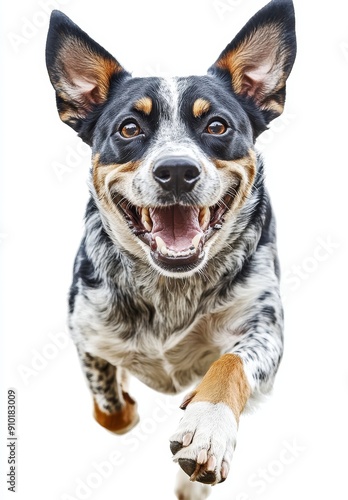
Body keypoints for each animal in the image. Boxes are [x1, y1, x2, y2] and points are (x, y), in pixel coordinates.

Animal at [46, 0, 296, 496]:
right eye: (128, 128)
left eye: (217, 125)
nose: (177, 170)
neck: (170, 289)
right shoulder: (85, 332)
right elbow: (113, 411)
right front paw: (125, 399)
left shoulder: (264, 325)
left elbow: (231, 364)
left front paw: (207, 427)